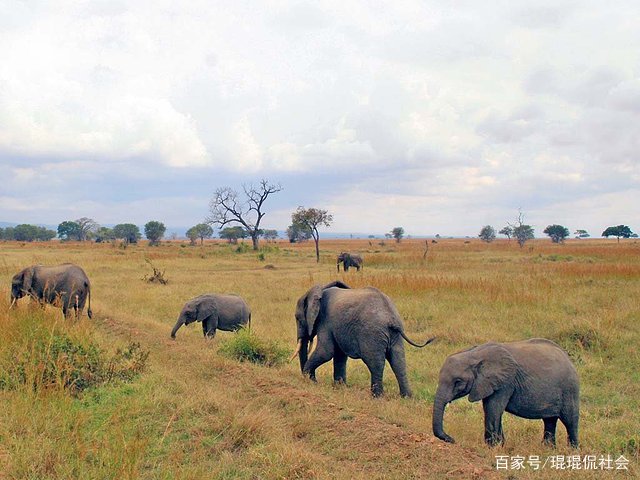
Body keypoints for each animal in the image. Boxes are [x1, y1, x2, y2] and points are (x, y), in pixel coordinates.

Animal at [290, 282, 436, 398]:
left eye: (297, 318)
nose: (313, 380)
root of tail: (391, 317)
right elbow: (339, 355)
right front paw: (340, 387)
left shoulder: (325, 322)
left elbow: (326, 352)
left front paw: (309, 380)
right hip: (394, 336)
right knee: (398, 361)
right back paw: (406, 397)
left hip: (371, 334)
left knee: (375, 362)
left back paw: (377, 396)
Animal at [432, 338, 576, 446]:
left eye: (458, 382)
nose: (452, 439)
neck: (474, 354)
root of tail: (567, 356)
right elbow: (490, 409)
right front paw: (499, 446)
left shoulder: (505, 382)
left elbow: (493, 409)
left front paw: (493, 447)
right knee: (549, 421)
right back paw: (548, 449)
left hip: (569, 389)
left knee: (570, 421)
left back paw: (572, 450)